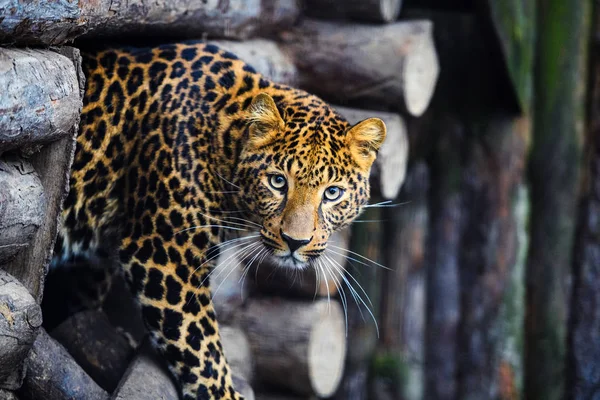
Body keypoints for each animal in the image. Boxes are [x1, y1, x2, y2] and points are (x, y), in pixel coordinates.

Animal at [49, 41, 386, 400]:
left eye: (333, 193)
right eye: (278, 182)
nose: (296, 242)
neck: (226, 137)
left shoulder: (94, 255)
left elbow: (82, 298)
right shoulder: (165, 254)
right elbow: (201, 344)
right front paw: (224, 393)